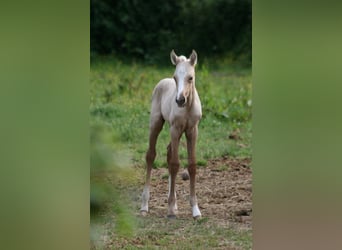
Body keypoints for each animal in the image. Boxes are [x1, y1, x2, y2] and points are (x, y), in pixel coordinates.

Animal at [140, 49, 202, 219]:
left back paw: (173, 204)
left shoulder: (192, 130)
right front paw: (170, 211)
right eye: (175, 77)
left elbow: (192, 165)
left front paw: (195, 210)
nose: (179, 100)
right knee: (151, 155)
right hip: (156, 123)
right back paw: (144, 206)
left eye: (190, 77)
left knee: (168, 152)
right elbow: (175, 164)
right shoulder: (175, 128)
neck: (187, 108)